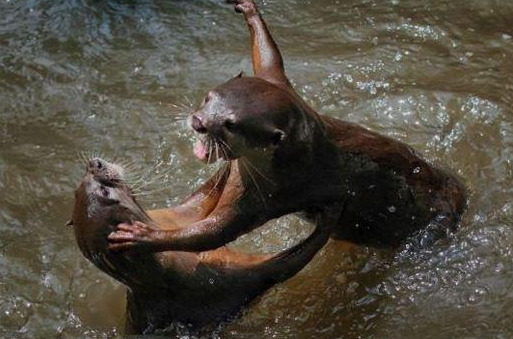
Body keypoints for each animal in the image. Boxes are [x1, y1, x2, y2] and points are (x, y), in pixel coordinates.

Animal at [68, 158, 332, 336]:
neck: (166, 263)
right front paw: (326, 223)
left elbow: (204, 196)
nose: (94, 163)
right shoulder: (214, 282)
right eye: (104, 191)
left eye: (78, 187)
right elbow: (280, 266)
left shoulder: (177, 217)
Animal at [107, 0, 464, 252]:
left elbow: (216, 232)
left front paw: (145, 236)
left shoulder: (270, 193)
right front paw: (249, 10)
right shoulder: (279, 85)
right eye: (208, 97)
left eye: (232, 124)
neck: (292, 155)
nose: (198, 122)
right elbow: (268, 57)